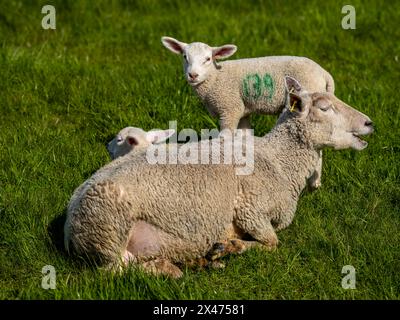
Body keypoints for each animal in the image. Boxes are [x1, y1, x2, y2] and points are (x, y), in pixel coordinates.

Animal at [64, 77, 374, 278]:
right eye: (324, 107)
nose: (369, 122)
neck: (279, 160)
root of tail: (69, 228)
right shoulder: (250, 209)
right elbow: (272, 243)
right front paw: (231, 246)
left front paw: (224, 249)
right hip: (109, 230)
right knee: (117, 270)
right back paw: (173, 269)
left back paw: (193, 263)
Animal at [159, 35, 334, 190]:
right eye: (185, 57)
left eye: (208, 59)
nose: (193, 75)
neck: (215, 78)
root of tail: (325, 75)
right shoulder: (242, 110)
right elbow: (244, 136)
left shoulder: (230, 108)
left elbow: (224, 138)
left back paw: (314, 183)